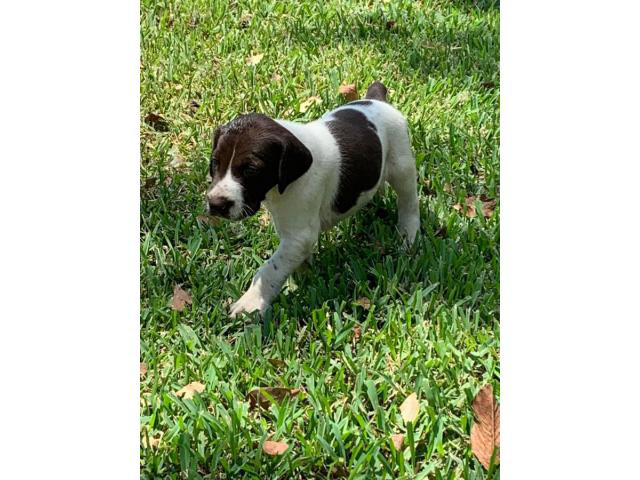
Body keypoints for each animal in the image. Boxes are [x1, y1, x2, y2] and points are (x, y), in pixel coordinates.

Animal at [208, 80, 422, 316]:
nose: (215, 204)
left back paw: (408, 235)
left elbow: (270, 269)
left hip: (402, 165)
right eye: (215, 163)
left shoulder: (300, 234)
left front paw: (251, 302)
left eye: (251, 170)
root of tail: (376, 100)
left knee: (409, 203)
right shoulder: (291, 232)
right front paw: (304, 277)